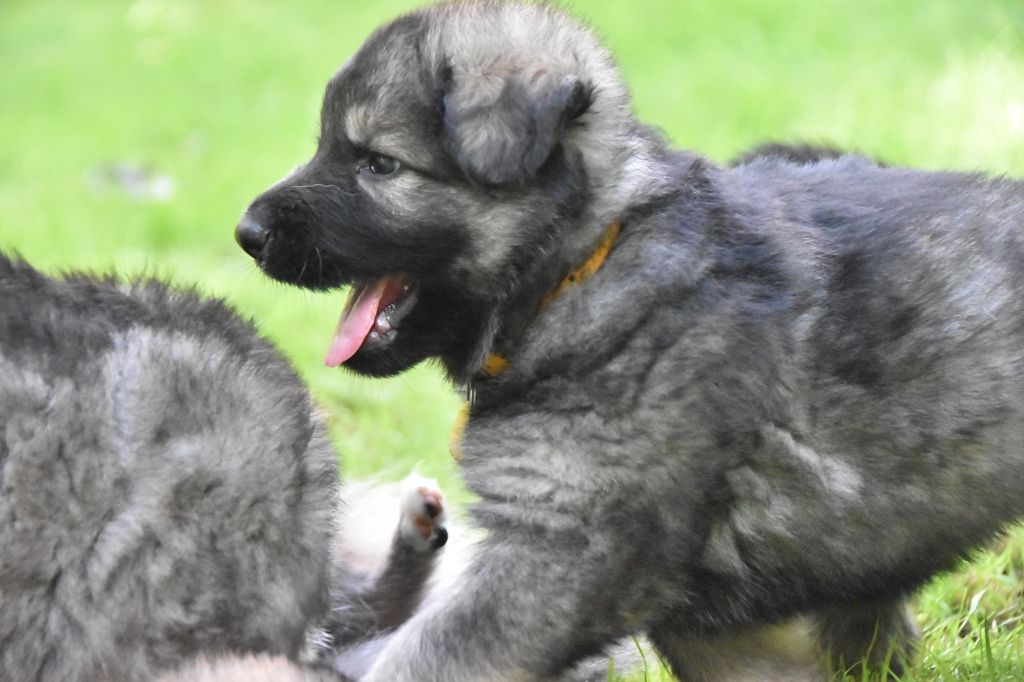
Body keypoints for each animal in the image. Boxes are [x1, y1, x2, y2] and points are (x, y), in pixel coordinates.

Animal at [236, 2, 1024, 679]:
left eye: (377, 163)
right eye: (326, 146)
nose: (246, 233)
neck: (578, 269)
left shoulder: (565, 549)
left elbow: (429, 654)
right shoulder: (720, 620)